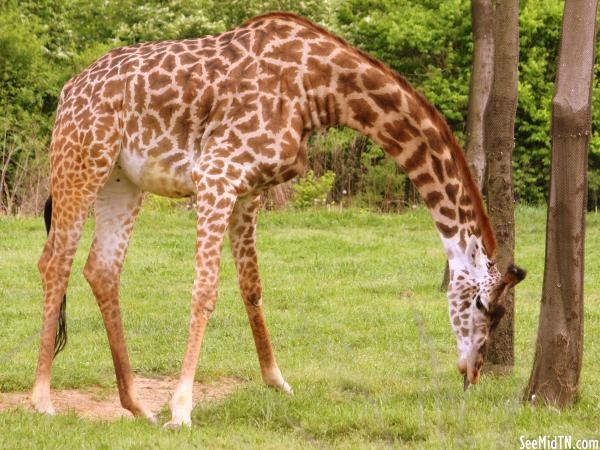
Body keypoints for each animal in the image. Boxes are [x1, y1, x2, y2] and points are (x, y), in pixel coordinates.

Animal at [31, 10, 524, 426]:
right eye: (482, 305)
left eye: (500, 314)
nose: (471, 373)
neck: (318, 89)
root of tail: (68, 91)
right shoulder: (216, 174)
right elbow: (205, 291)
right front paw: (182, 408)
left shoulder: (250, 190)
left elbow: (252, 286)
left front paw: (276, 381)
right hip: (81, 161)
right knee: (54, 261)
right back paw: (43, 400)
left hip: (122, 179)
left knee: (101, 269)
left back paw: (136, 405)